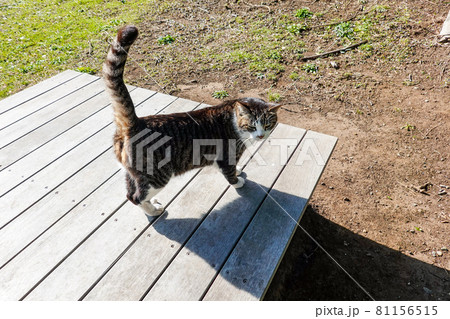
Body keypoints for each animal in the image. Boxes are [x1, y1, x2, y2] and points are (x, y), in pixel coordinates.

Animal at [103, 24, 280, 215]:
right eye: (252, 127)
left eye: (267, 124)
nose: (261, 136)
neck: (233, 119)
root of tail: (135, 124)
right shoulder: (226, 157)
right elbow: (229, 173)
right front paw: (238, 181)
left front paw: (239, 170)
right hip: (156, 177)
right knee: (137, 198)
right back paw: (154, 210)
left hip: (133, 174)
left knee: (129, 193)